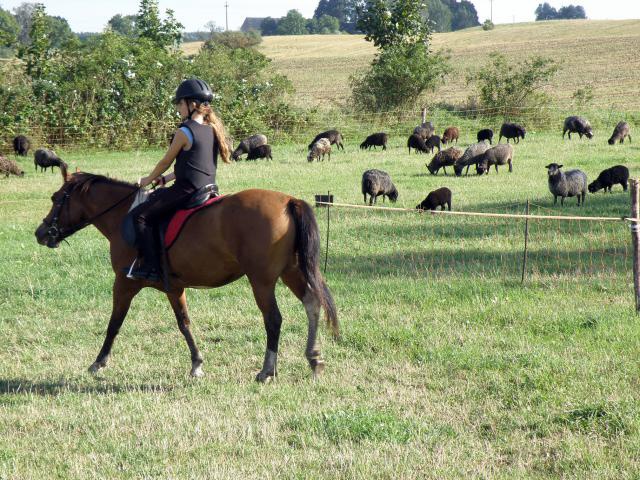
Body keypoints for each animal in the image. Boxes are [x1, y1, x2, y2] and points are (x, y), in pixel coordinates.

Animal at [33, 171, 340, 380]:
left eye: (56, 199)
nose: (41, 233)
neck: (124, 215)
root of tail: (289, 201)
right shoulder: (174, 287)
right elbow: (184, 324)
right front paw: (197, 363)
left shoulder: (124, 283)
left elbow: (114, 324)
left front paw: (99, 362)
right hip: (291, 272)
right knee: (312, 303)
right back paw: (314, 358)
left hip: (261, 281)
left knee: (273, 319)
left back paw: (267, 370)